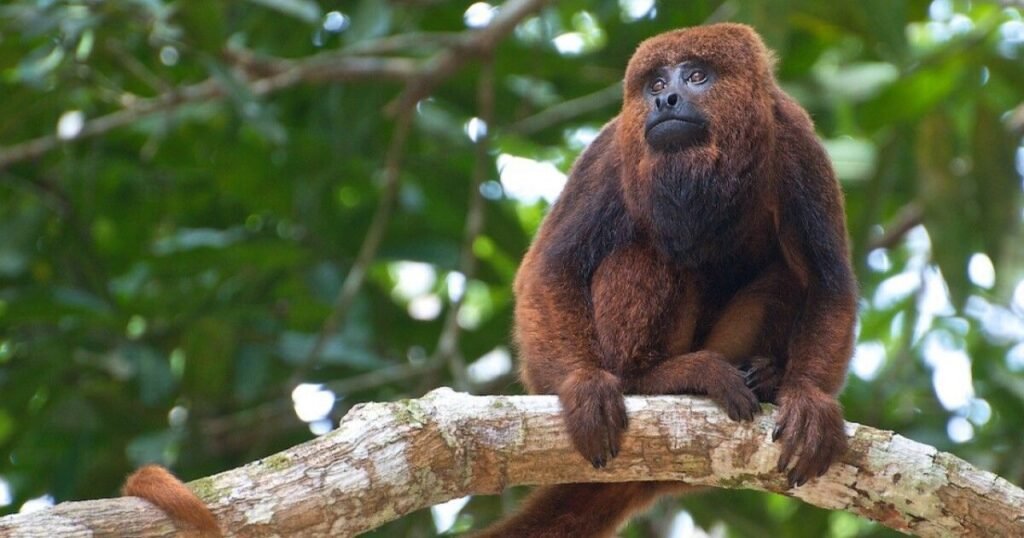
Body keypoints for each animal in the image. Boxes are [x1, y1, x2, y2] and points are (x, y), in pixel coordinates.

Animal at [477, 23, 857, 537]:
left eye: (696, 76)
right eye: (655, 83)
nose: (666, 100)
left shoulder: (798, 142)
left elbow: (826, 280)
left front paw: (809, 400)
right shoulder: (609, 152)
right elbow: (551, 267)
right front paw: (581, 384)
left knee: (786, 276)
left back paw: (766, 377)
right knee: (648, 253)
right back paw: (653, 377)